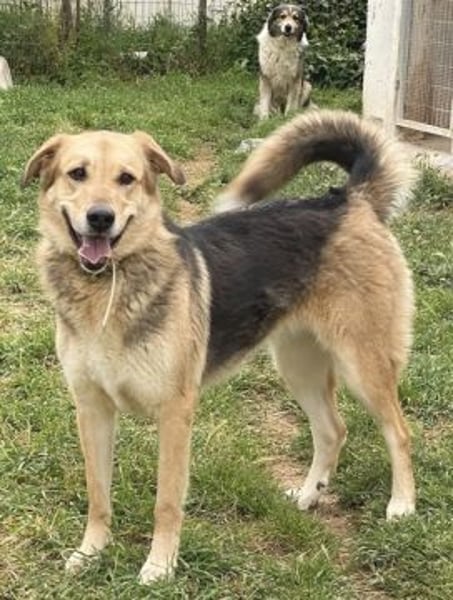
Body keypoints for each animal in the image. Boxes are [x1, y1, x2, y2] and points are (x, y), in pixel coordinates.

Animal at [23, 110, 416, 585]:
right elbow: (98, 493)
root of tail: (350, 199)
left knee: (398, 432)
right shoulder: (91, 408)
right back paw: (309, 496)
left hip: (363, 364)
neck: (107, 289)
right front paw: (91, 552)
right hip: (297, 366)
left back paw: (402, 506)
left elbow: (167, 501)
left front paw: (160, 566)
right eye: (77, 174)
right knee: (332, 430)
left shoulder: (175, 413)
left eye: (126, 179)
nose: (100, 218)